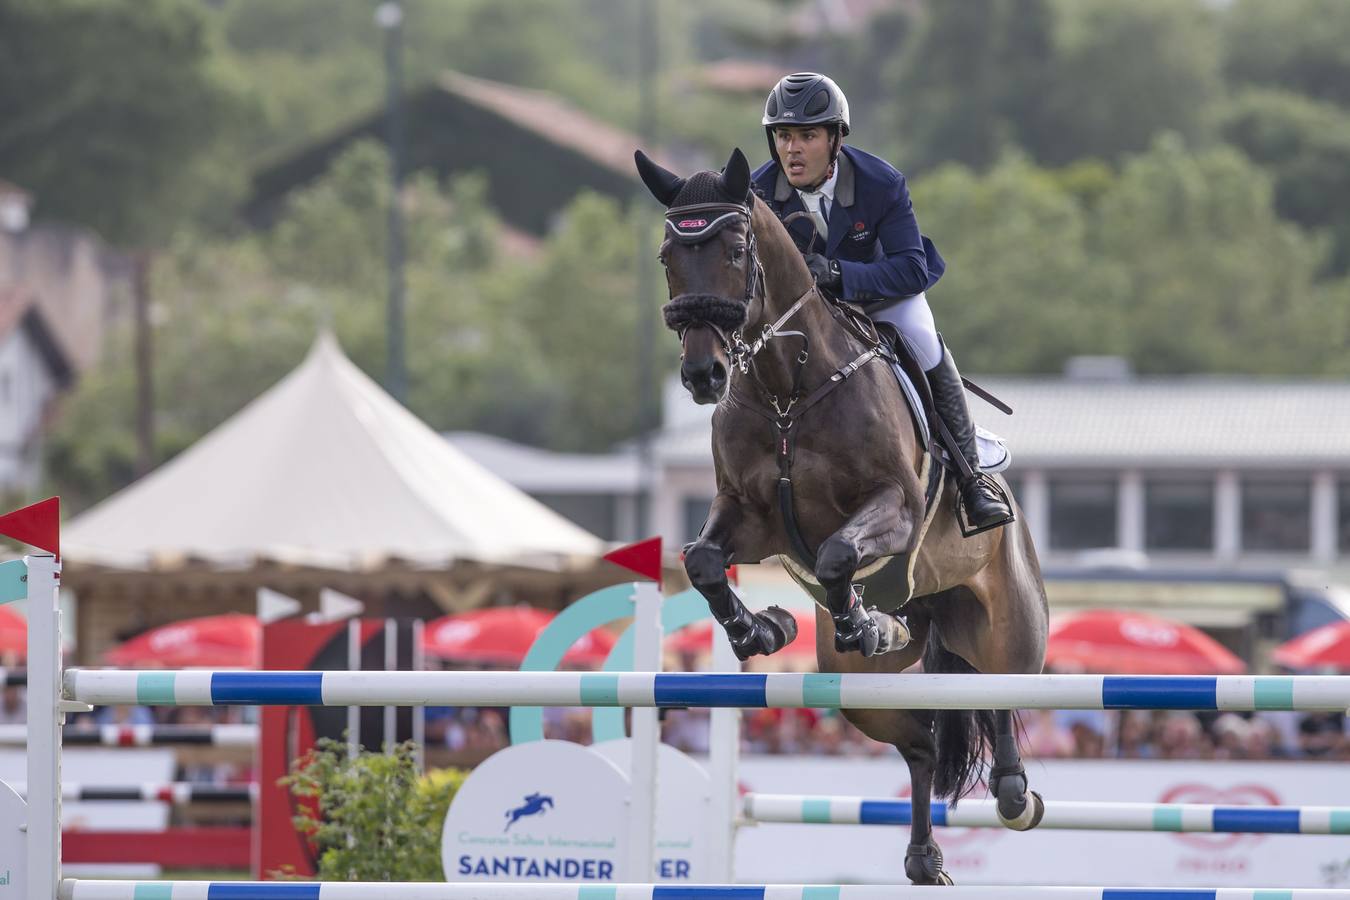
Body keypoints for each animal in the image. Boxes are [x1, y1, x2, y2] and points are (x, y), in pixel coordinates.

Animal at [634, 147, 1053, 885]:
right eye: (667, 255)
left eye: (736, 249)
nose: (703, 376)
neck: (788, 386)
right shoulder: (748, 514)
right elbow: (704, 560)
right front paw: (763, 629)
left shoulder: (894, 510)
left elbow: (836, 553)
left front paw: (858, 618)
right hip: (862, 689)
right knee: (921, 743)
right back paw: (923, 855)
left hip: (1010, 626)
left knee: (1000, 692)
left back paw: (1011, 790)